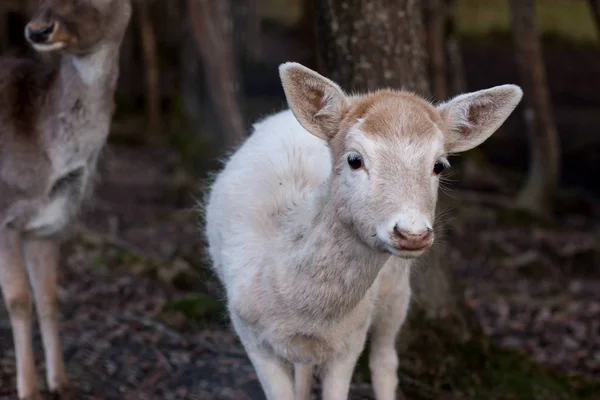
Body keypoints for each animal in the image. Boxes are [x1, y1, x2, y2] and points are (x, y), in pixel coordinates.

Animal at [0, 1, 132, 398]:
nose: (38, 30)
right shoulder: (4, 216)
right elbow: (19, 300)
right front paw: (28, 390)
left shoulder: (50, 224)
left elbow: (48, 297)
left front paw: (60, 383)